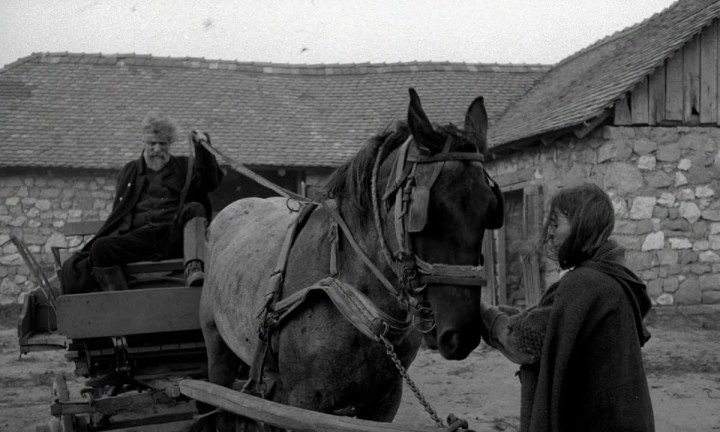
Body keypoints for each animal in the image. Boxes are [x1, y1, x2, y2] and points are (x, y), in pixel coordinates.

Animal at [198, 88, 505, 430]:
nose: (461, 335)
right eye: (426, 213)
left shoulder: (385, 400)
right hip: (217, 347)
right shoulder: (303, 401)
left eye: (490, 209)